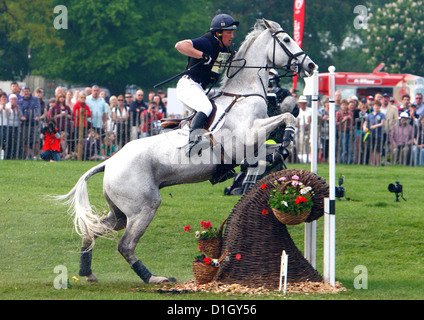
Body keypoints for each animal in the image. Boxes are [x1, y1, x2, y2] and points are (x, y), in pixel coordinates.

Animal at [54, 18, 314, 284]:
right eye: (286, 40)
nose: (311, 65)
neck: (243, 94)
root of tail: (110, 162)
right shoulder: (248, 136)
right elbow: (285, 119)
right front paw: (288, 136)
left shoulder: (253, 147)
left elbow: (268, 155)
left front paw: (273, 158)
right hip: (143, 207)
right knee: (125, 245)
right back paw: (153, 278)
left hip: (120, 213)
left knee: (94, 229)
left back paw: (87, 272)